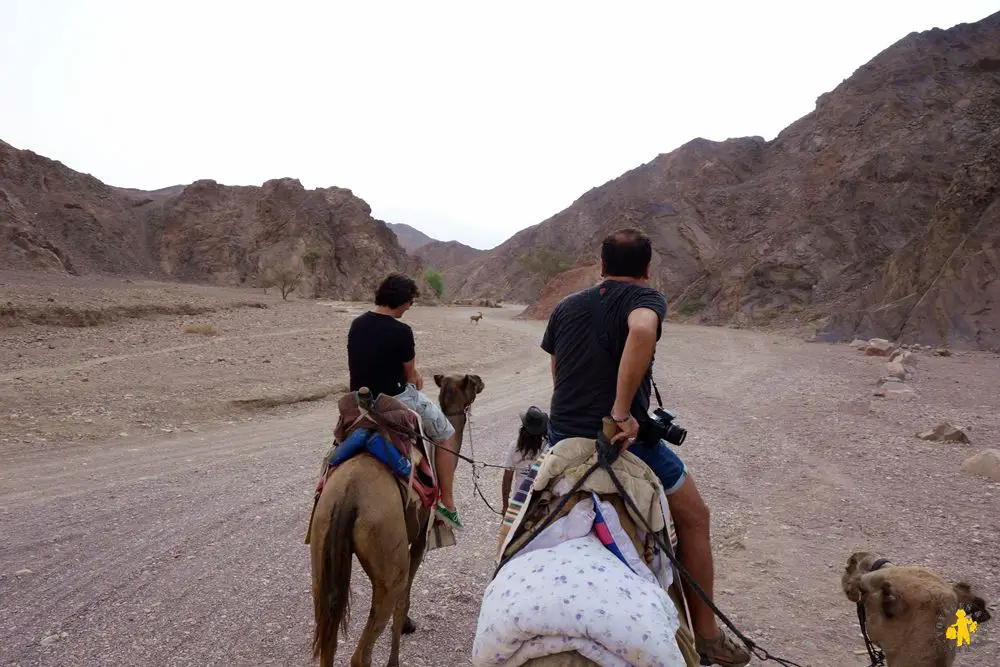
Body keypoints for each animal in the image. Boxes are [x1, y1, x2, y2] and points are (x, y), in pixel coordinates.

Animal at [310, 376, 486, 667]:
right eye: (471, 382)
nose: (482, 382)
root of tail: (348, 496)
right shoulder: (419, 540)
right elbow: (403, 602)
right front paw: (403, 634)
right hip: (388, 556)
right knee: (363, 651)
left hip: (321, 549)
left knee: (327, 640)